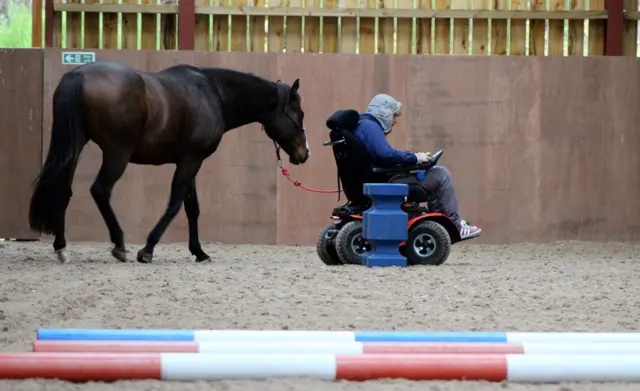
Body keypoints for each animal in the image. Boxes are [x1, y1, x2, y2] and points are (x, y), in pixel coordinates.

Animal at [28, 61, 310, 264]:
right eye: (299, 114)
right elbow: (175, 204)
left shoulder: (189, 161)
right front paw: (147, 249)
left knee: (63, 190)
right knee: (99, 190)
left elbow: (192, 207)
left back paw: (62, 248)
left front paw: (199, 252)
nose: (304, 153)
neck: (213, 93)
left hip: (75, 146)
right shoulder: (191, 161)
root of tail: (78, 75)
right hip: (117, 153)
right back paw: (119, 245)